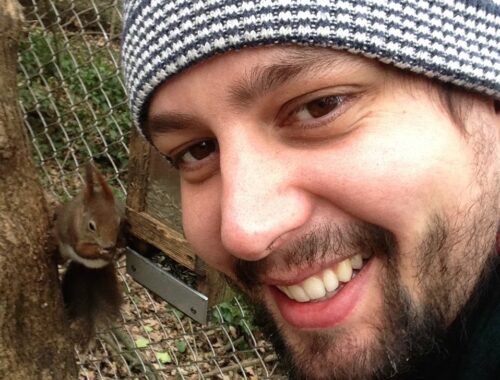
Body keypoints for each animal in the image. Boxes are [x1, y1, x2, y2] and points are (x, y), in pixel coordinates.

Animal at [53, 163, 125, 344]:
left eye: (118, 221)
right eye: (91, 226)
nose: (109, 244)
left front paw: (120, 246)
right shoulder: (73, 233)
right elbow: (81, 249)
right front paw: (103, 252)